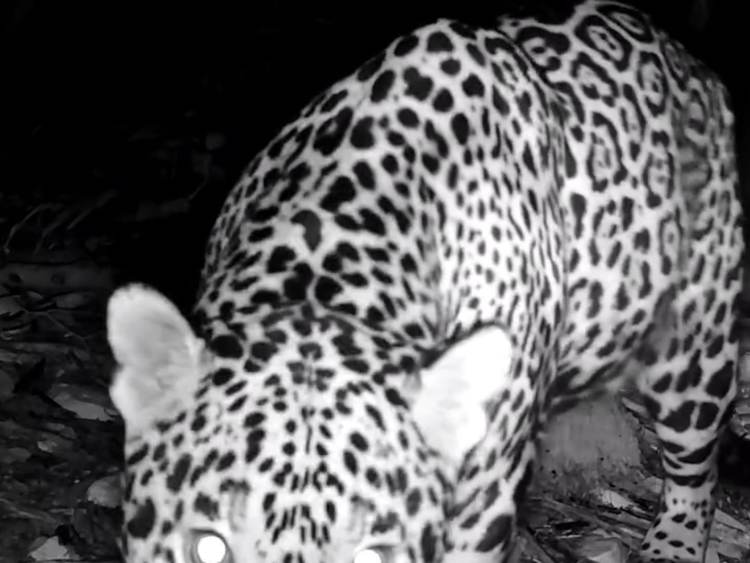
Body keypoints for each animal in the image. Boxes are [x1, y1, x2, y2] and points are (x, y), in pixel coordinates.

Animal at [105, 1, 744, 562]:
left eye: (370, 554)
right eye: (208, 546)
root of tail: (692, 61)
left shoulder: (483, 496)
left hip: (697, 350)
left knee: (699, 464)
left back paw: (673, 544)